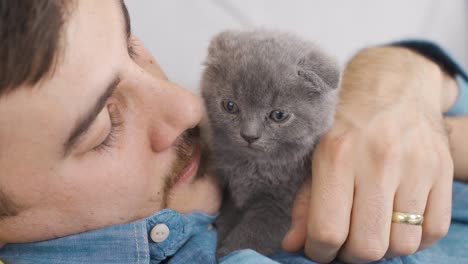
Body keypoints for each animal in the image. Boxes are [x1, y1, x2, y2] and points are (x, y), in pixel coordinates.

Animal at [201, 29, 340, 258]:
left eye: (278, 115)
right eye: (230, 106)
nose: (249, 135)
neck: (253, 167)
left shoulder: (281, 204)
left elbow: (252, 236)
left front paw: (229, 252)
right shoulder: (232, 194)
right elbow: (229, 217)